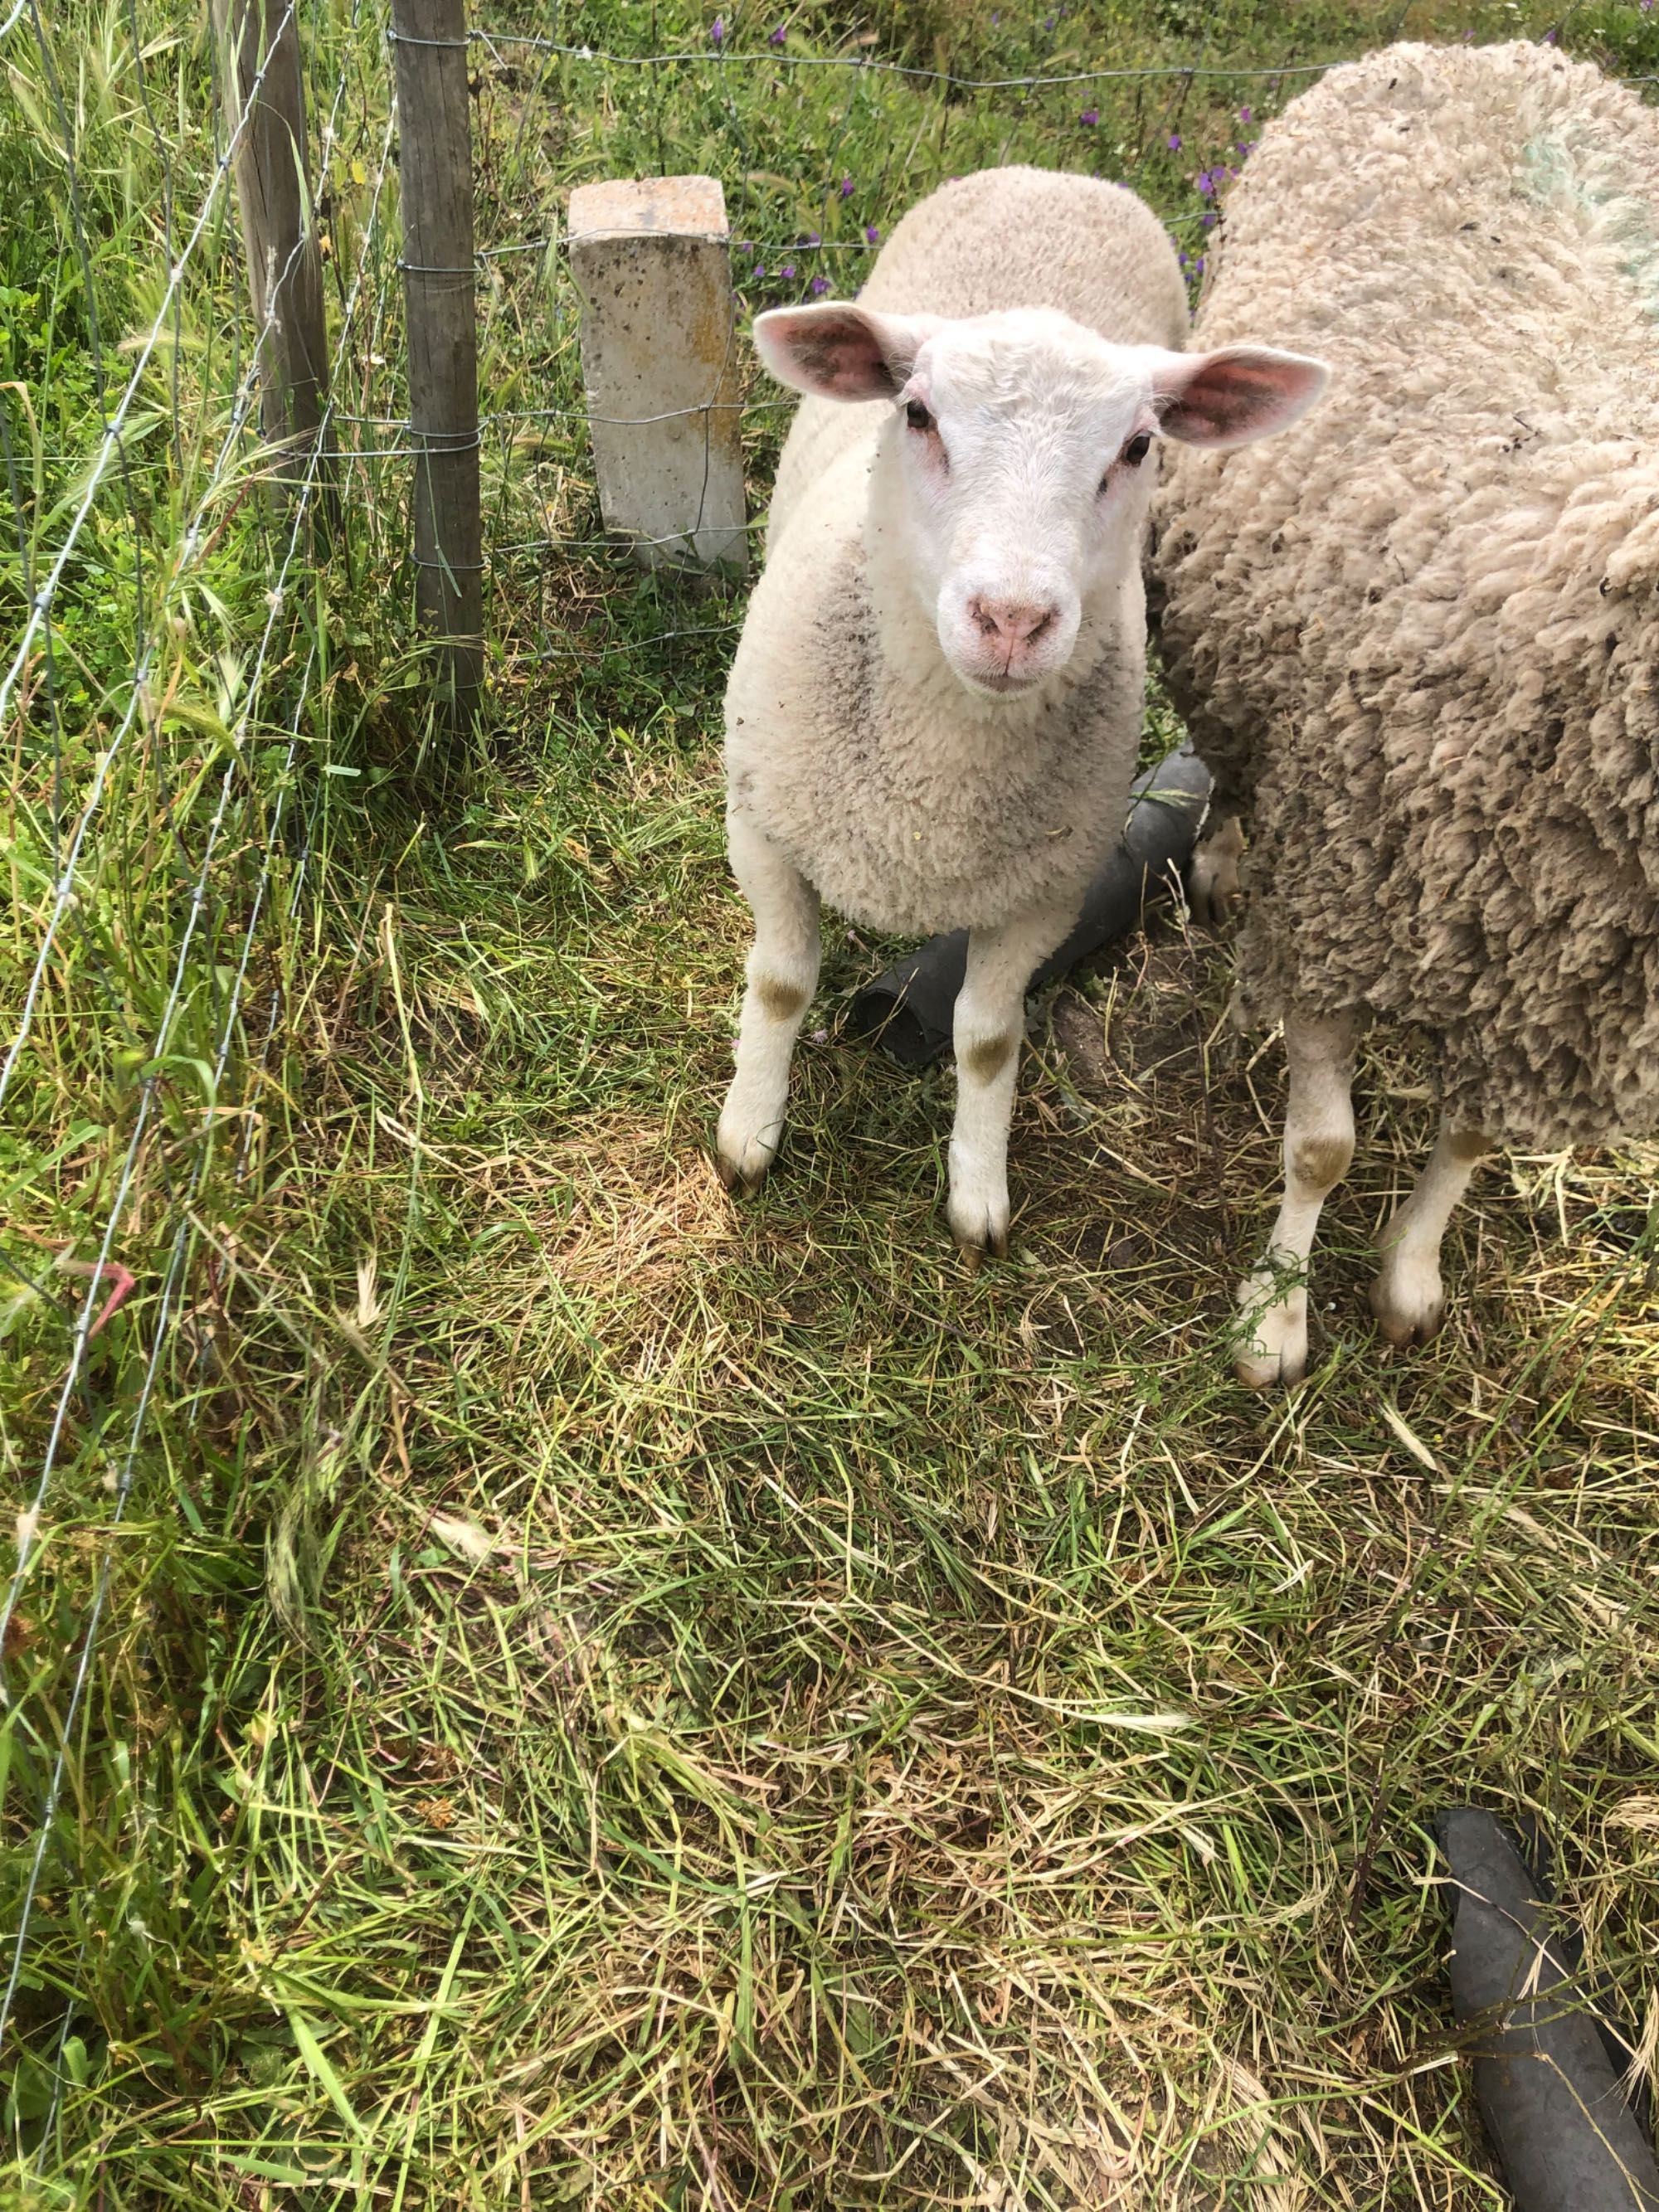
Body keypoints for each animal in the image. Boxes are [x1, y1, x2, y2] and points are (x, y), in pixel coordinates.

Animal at [721, 163, 1335, 1256]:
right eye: (916, 415)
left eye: (1137, 445)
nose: (1010, 619)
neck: (928, 789)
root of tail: (1058, 174)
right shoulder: (759, 822)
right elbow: (783, 981)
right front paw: (749, 1133)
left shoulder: (1045, 893)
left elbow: (984, 1037)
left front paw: (977, 1189)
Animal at [1150, 39, 1659, 1380]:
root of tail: (1496, 47)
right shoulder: (1338, 900)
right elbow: (1322, 1147)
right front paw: (1273, 1317)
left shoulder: (1528, 1004)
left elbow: (1470, 1142)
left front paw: (1408, 1278)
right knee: (1232, 768)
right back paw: (1223, 855)